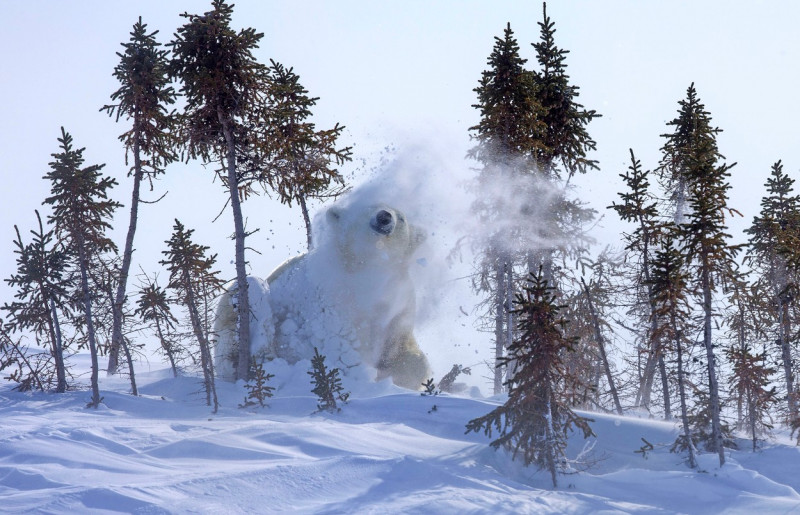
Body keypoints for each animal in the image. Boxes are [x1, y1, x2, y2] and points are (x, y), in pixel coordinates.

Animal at [209, 204, 428, 390]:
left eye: (402, 218)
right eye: (366, 208)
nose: (384, 217)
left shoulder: (402, 307)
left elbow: (410, 358)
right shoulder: (334, 301)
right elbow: (341, 350)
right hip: (232, 315)